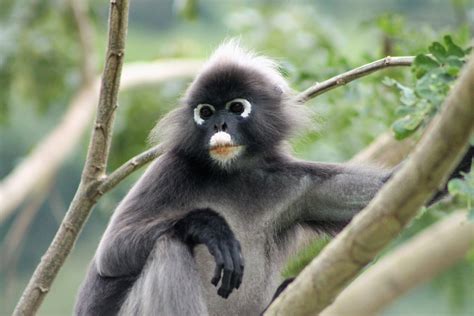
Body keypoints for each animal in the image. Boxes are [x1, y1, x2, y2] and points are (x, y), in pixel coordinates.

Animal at [76, 40, 472, 314]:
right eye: (206, 112)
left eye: (236, 107)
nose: (219, 125)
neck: (231, 173)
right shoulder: (170, 168)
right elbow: (111, 252)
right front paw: (210, 226)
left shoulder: (296, 183)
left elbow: (397, 192)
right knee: (169, 246)